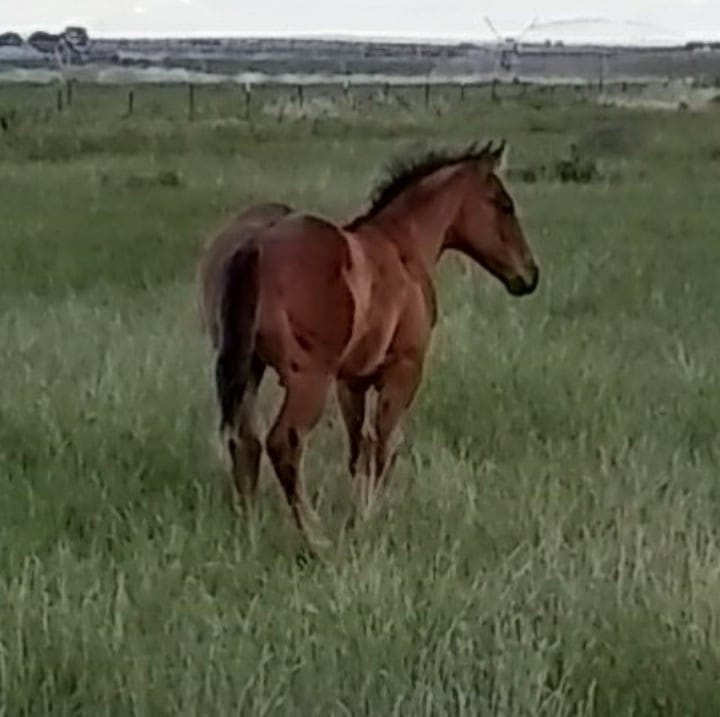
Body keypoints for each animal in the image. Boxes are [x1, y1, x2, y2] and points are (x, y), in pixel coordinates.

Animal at [198, 140, 539, 550]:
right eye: (504, 205)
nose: (529, 276)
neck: (402, 248)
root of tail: (255, 245)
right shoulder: (403, 372)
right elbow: (382, 448)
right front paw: (371, 518)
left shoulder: (352, 382)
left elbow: (358, 450)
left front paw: (359, 513)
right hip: (307, 380)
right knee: (284, 443)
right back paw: (316, 538)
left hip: (249, 368)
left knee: (244, 442)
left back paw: (250, 529)